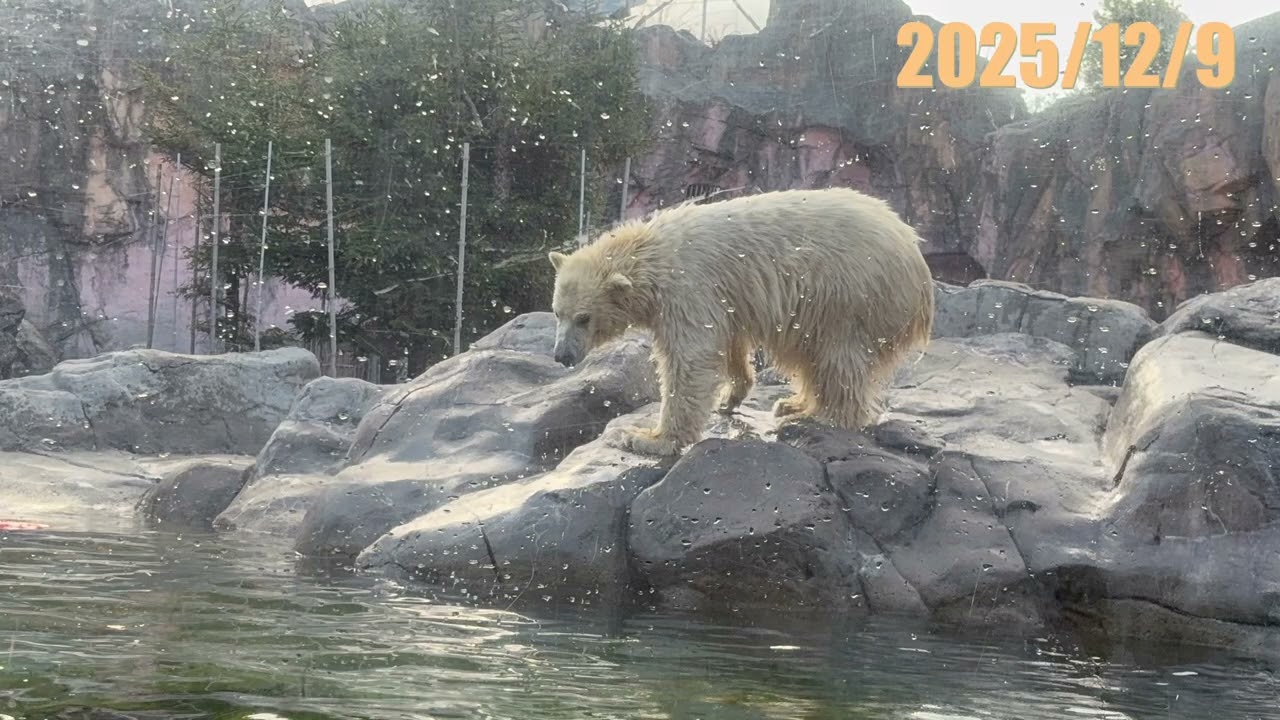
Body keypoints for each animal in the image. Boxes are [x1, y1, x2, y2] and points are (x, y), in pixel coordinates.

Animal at [547, 186, 935, 457]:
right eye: (557, 312)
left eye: (584, 318)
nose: (561, 356)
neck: (652, 253)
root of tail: (915, 252)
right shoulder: (721, 299)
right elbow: (727, 342)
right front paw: (730, 396)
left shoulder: (688, 287)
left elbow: (690, 359)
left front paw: (646, 437)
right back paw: (793, 403)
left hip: (848, 293)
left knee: (837, 354)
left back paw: (819, 415)